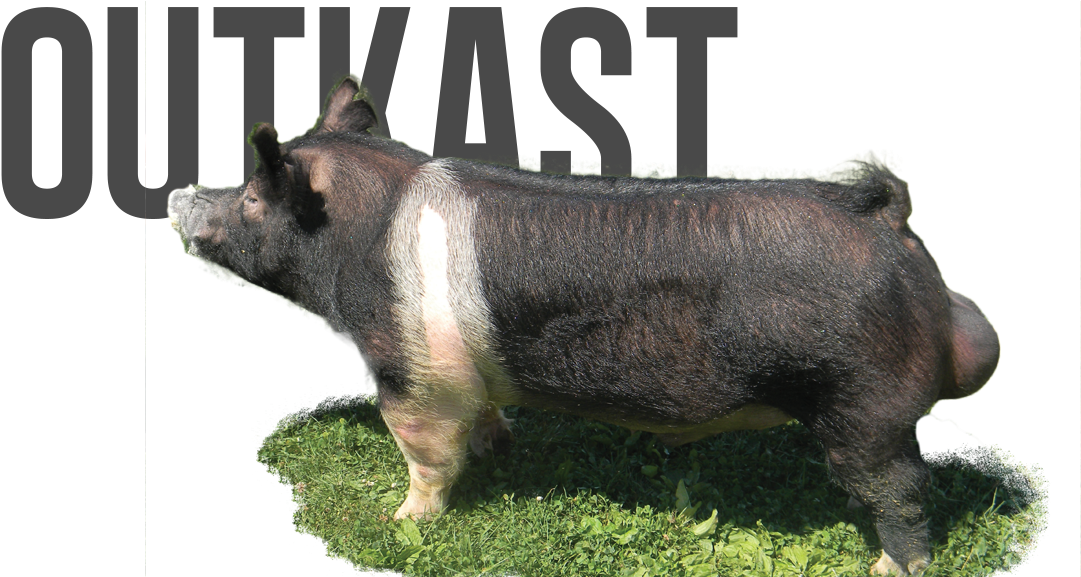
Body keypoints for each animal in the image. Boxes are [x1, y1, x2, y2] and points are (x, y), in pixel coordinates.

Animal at [167, 73, 999, 576]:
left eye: (251, 195)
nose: (177, 194)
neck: (355, 241)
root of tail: (884, 220)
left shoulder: (412, 373)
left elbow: (425, 455)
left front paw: (401, 517)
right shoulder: (464, 376)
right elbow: (484, 419)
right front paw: (499, 446)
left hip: (861, 401)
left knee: (904, 489)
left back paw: (884, 565)